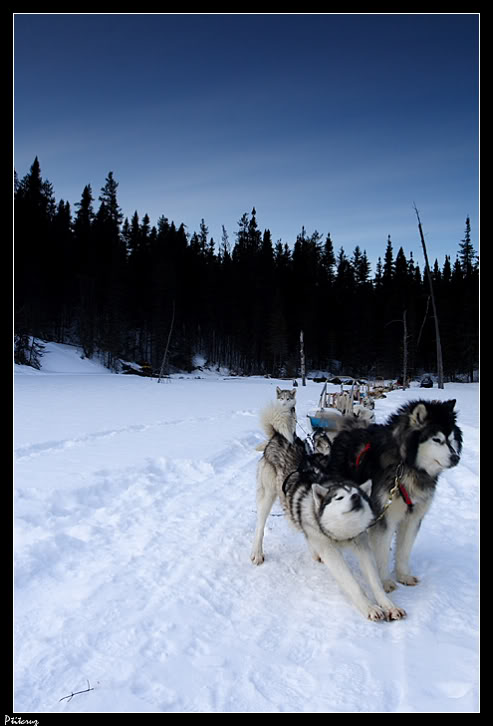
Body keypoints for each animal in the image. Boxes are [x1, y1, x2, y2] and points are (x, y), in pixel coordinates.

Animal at [252, 400, 406, 624]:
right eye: (339, 498)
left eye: (358, 493)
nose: (356, 498)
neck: (341, 535)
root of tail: (279, 437)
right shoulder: (331, 552)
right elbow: (352, 583)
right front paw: (369, 607)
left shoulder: (362, 546)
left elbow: (375, 581)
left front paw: (389, 605)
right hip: (267, 497)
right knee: (260, 526)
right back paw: (257, 552)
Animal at [326, 400, 462, 596]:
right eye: (437, 439)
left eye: (451, 439)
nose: (455, 458)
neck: (406, 464)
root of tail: (352, 427)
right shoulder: (385, 515)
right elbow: (382, 551)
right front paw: (385, 581)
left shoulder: (413, 517)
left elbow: (404, 550)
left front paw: (403, 575)